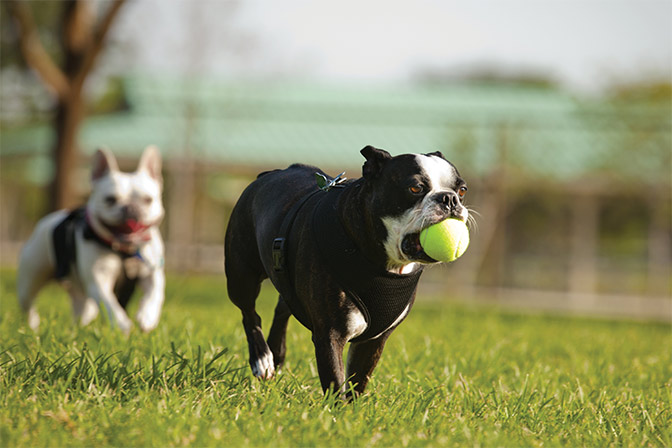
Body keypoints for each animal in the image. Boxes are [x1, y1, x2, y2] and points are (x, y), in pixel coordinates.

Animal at [226, 145, 468, 394]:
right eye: (415, 188)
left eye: (462, 191)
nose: (449, 198)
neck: (388, 266)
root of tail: (268, 174)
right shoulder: (330, 335)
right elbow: (335, 381)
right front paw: (334, 405)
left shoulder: (373, 341)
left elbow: (357, 382)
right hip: (241, 275)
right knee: (249, 313)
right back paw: (262, 359)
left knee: (283, 305)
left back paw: (276, 352)